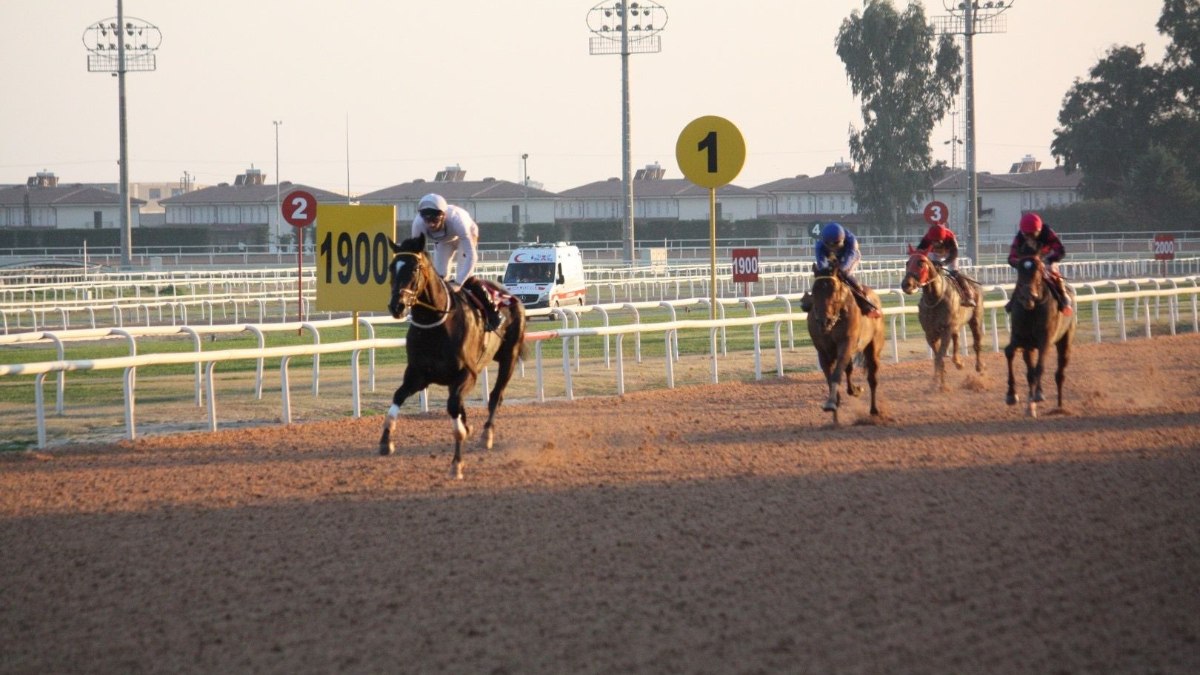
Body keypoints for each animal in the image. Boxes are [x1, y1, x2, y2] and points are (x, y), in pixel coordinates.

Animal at [376, 234, 523, 475]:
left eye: (414, 268)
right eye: (391, 267)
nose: (396, 306)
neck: (436, 325)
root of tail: (509, 295)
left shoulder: (468, 374)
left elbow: (454, 407)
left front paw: (457, 462)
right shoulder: (417, 375)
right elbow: (398, 396)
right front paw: (386, 440)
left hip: (509, 357)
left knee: (496, 396)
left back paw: (486, 434)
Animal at [806, 266, 883, 420]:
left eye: (834, 289)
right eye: (815, 289)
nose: (824, 321)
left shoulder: (846, 344)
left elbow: (837, 373)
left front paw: (831, 402)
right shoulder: (823, 352)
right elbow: (831, 377)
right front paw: (834, 405)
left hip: (873, 347)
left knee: (872, 378)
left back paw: (874, 409)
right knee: (849, 369)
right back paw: (854, 390)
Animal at [902, 248, 984, 389]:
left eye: (921, 263)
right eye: (907, 263)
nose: (906, 284)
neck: (935, 298)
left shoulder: (946, 330)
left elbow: (940, 357)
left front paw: (939, 384)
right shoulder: (930, 333)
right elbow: (937, 357)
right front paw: (937, 380)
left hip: (975, 319)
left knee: (977, 342)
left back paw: (979, 367)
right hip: (955, 325)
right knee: (956, 339)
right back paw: (958, 362)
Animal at [1003, 254, 1080, 415]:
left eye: (1038, 271)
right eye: (1019, 271)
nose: (1028, 297)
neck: (1031, 311)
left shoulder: (1045, 340)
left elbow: (1040, 367)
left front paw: (1036, 397)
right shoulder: (1021, 339)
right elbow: (1009, 352)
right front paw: (1011, 395)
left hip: (1065, 340)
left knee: (1059, 373)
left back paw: (1059, 406)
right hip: (1030, 347)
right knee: (1030, 372)